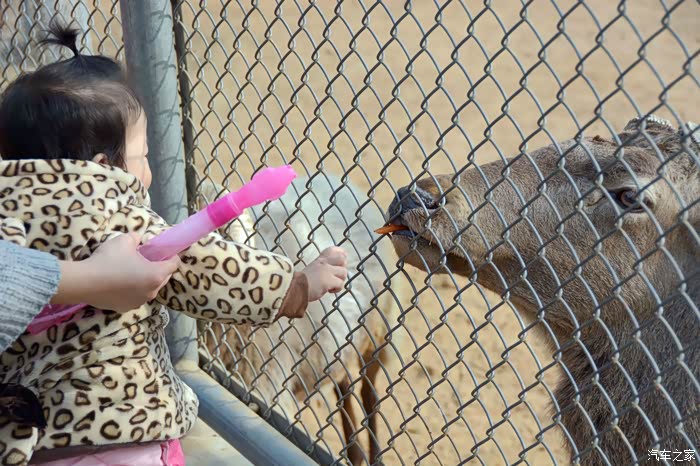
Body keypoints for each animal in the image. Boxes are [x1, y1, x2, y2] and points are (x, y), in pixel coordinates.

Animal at [195, 174, 401, 466]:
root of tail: (334, 177)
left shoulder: (266, 379)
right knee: (343, 385)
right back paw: (354, 451)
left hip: (377, 331)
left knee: (368, 392)